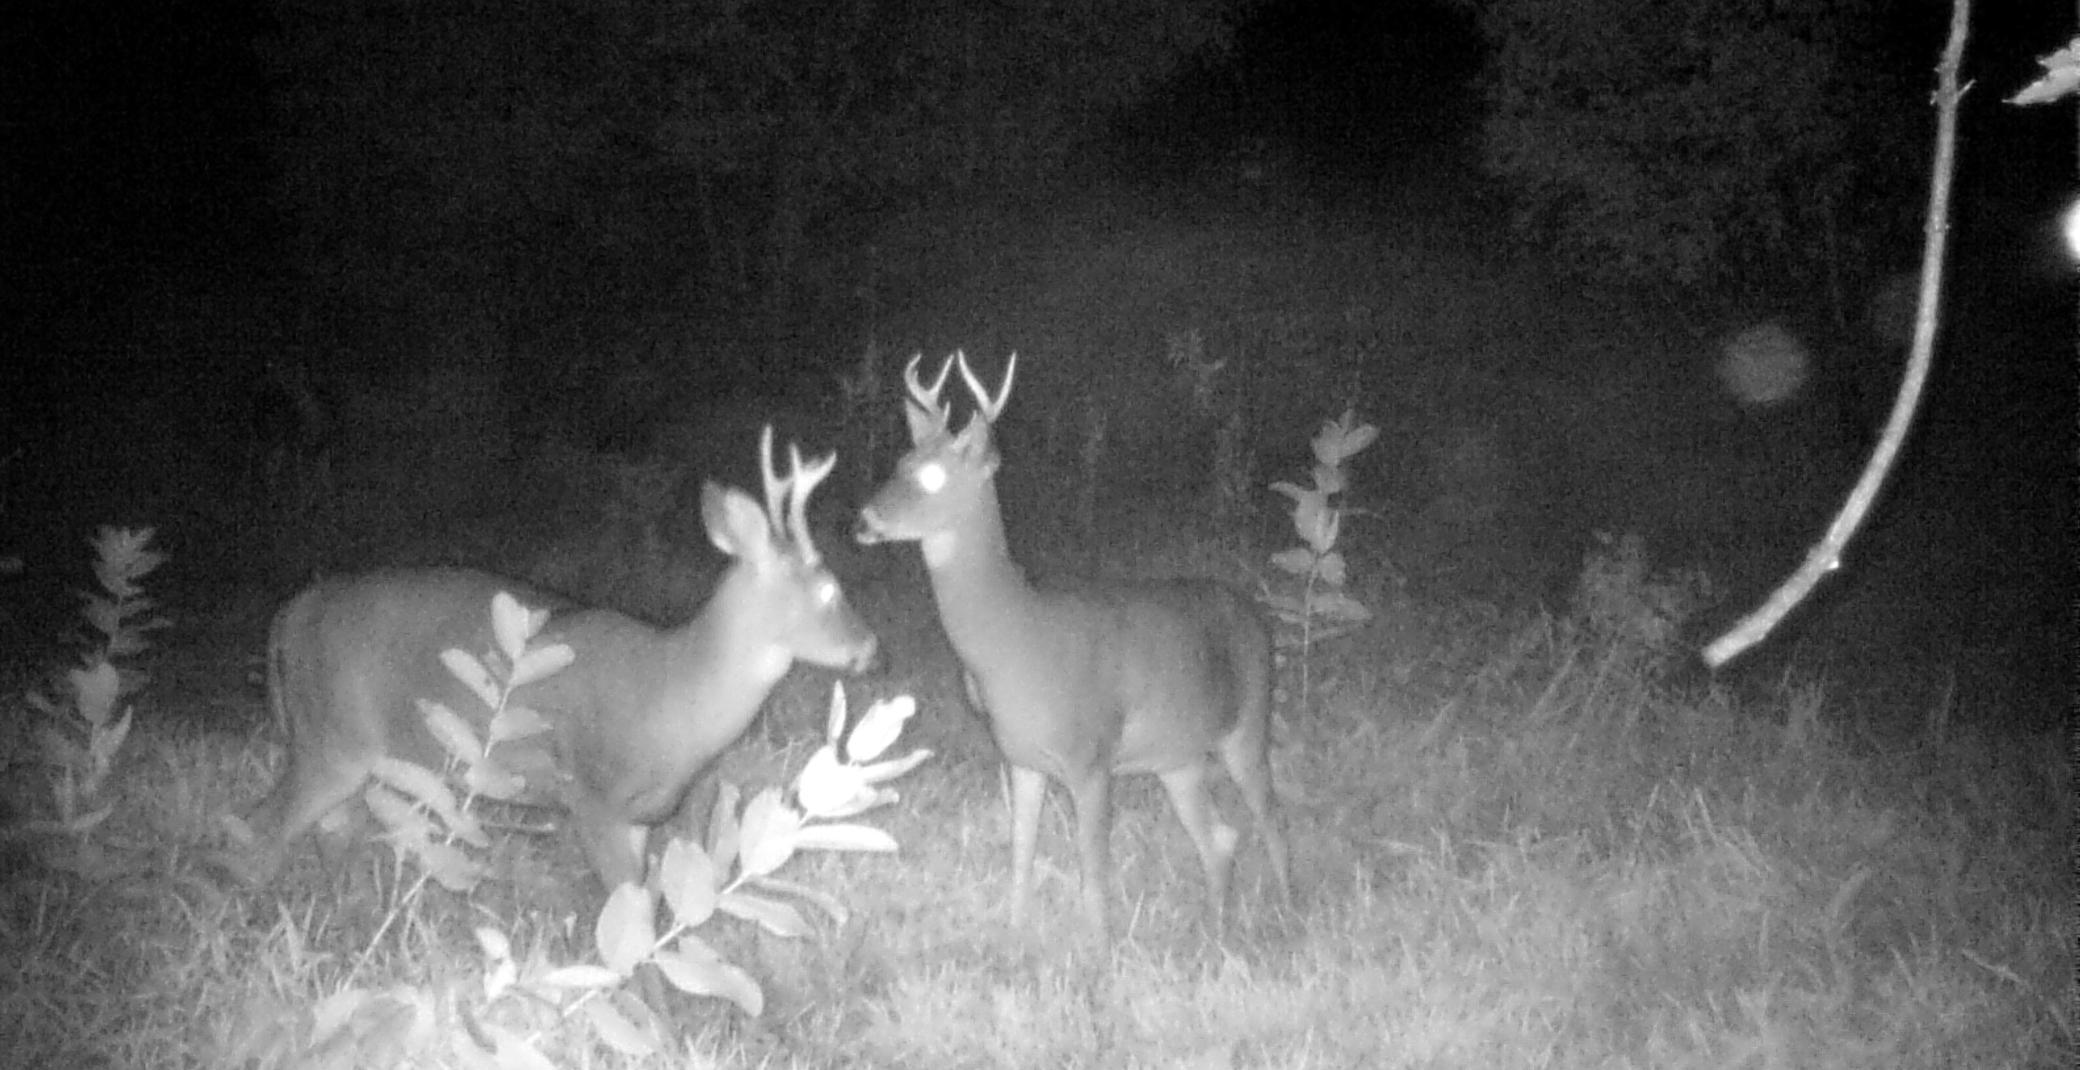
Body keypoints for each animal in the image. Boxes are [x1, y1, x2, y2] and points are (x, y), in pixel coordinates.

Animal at [235, 425, 879, 891]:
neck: (676, 692)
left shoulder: (642, 816)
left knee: (329, 835)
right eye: (828, 591)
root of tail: (291, 612)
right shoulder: (592, 794)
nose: (870, 647)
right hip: (332, 738)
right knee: (259, 830)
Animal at [853, 352, 1291, 938]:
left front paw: (1098, 952)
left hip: (1247, 726)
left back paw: (1290, 909)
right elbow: (1020, 857)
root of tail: (1258, 618)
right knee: (1220, 838)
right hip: (1177, 756)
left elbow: (1094, 873)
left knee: (1270, 819)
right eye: (901, 460)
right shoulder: (1020, 759)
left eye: (932, 474)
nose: (863, 520)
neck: (1016, 641)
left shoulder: (1093, 757)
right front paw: (1015, 938)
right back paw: (1216, 930)